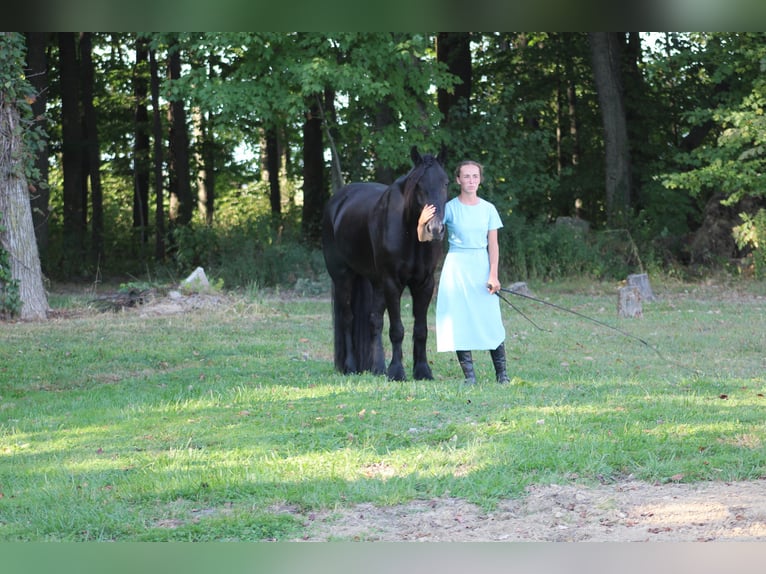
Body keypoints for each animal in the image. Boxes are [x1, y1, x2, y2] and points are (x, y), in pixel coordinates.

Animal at [322, 148, 450, 382]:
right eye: (418, 184)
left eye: (445, 182)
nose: (434, 229)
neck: (410, 233)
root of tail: (337, 202)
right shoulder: (392, 283)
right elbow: (397, 329)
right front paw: (397, 371)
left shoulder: (425, 284)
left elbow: (421, 329)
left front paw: (422, 371)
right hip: (344, 277)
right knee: (347, 319)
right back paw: (351, 366)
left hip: (376, 283)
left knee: (374, 321)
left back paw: (378, 367)